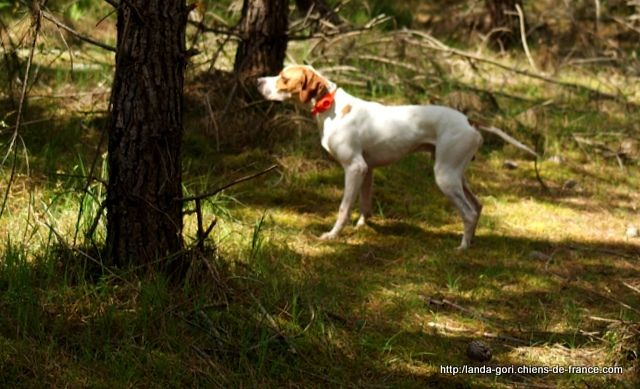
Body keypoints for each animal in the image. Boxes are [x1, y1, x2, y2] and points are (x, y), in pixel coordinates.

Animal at [258, 64, 482, 249]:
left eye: (284, 78)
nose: (258, 81)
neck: (332, 107)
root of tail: (470, 123)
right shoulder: (367, 170)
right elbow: (365, 205)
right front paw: (361, 227)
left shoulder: (354, 167)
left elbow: (344, 208)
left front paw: (333, 234)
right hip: (456, 175)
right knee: (478, 206)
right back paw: (471, 240)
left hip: (445, 176)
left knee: (469, 213)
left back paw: (463, 247)